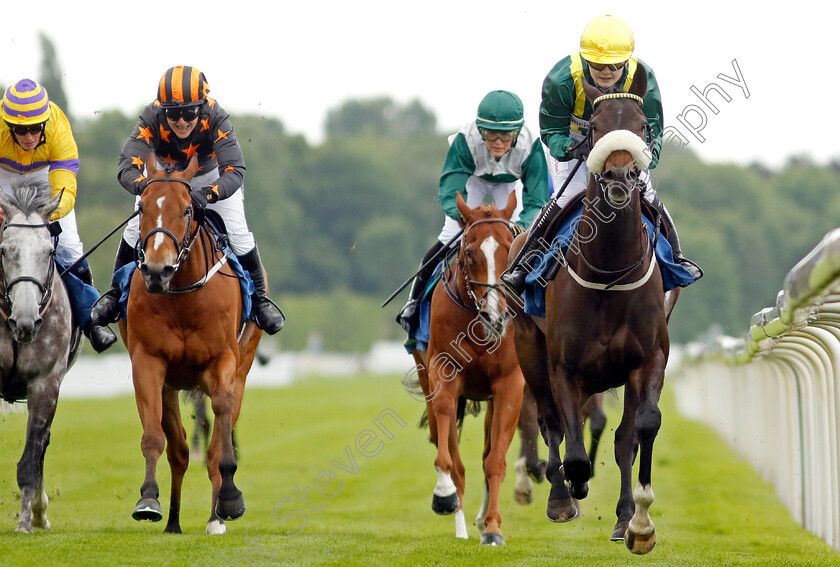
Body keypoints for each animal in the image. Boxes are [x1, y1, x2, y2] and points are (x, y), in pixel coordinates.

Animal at [119, 153, 262, 536]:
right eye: (143, 207)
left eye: (187, 209)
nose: (157, 270)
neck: (182, 295)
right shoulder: (148, 363)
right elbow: (155, 437)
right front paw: (148, 500)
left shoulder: (224, 361)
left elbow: (221, 431)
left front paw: (230, 499)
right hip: (171, 387)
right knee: (179, 451)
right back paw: (173, 521)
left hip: (243, 365)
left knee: (211, 446)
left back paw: (215, 517)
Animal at [410, 191, 520, 544]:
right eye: (469, 252)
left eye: (509, 248)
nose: (495, 317)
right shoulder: (443, 374)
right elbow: (450, 457)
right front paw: (445, 494)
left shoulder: (510, 384)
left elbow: (495, 460)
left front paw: (493, 528)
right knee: (442, 439)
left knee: (488, 451)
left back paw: (483, 519)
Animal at [508, 71, 680, 556]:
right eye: (597, 127)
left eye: (642, 126)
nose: (621, 174)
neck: (608, 272)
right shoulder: (564, 367)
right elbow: (573, 448)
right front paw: (569, 490)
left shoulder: (649, 358)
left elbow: (639, 429)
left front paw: (638, 522)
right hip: (528, 348)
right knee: (549, 423)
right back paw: (560, 494)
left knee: (617, 436)